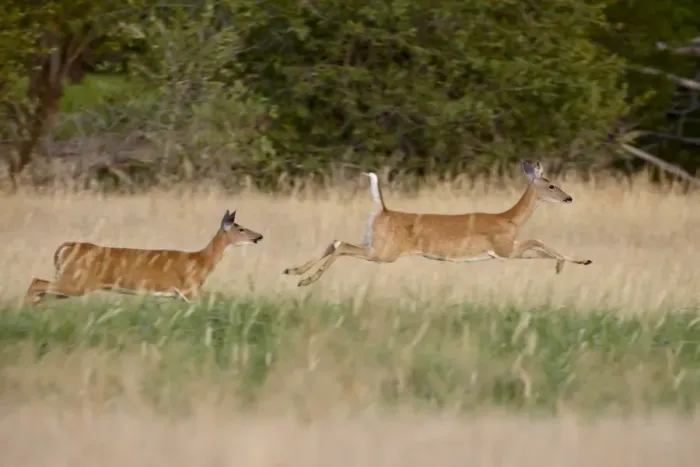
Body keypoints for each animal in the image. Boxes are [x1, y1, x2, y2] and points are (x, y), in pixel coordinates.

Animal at [23, 209, 263, 305]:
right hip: (78, 281)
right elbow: (220, 296)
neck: (200, 261)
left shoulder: (182, 295)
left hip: (69, 281)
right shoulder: (190, 288)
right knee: (36, 282)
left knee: (41, 288)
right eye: (240, 228)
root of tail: (68, 247)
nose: (259, 236)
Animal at [283, 161, 592, 287]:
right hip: (384, 252)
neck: (510, 219)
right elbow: (537, 241)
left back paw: (293, 271)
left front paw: (573, 263)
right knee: (342, 247)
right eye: (551, 185)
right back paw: (306, 280)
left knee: (336, 241)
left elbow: (538, 249)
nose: (569, 198)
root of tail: (382, 209)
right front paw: (572, 262)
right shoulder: (504, 248)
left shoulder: (505, 252)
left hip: (373, 241)